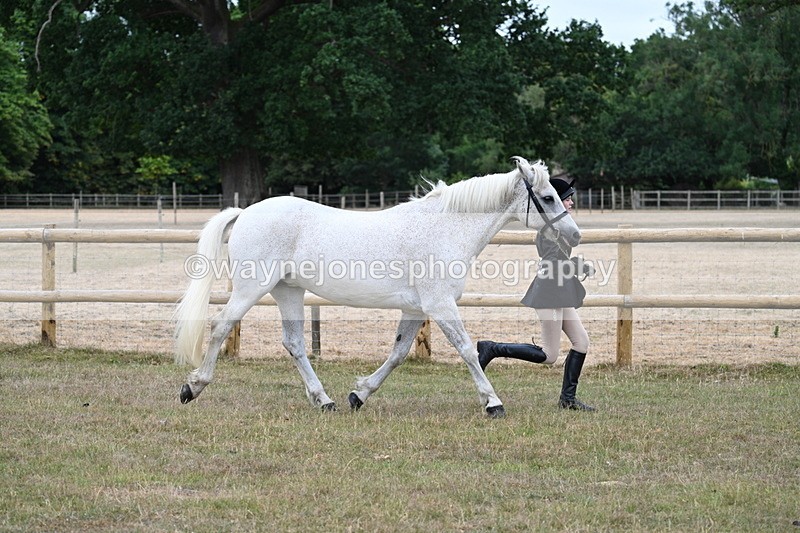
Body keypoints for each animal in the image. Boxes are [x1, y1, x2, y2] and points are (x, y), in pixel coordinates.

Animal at [174, 156, 581, 417]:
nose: (575, 235)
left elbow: (398, 353)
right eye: (547, 197)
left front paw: (359, 395)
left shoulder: (416, 309)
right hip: (251, 289)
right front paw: (493, 403)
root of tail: (246, 212)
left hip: (288, 291)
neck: (443, 228)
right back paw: (192, 387)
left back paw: (325, 401)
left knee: (294, 344)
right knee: (221, 327)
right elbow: (466, 350)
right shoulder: (440, 305)